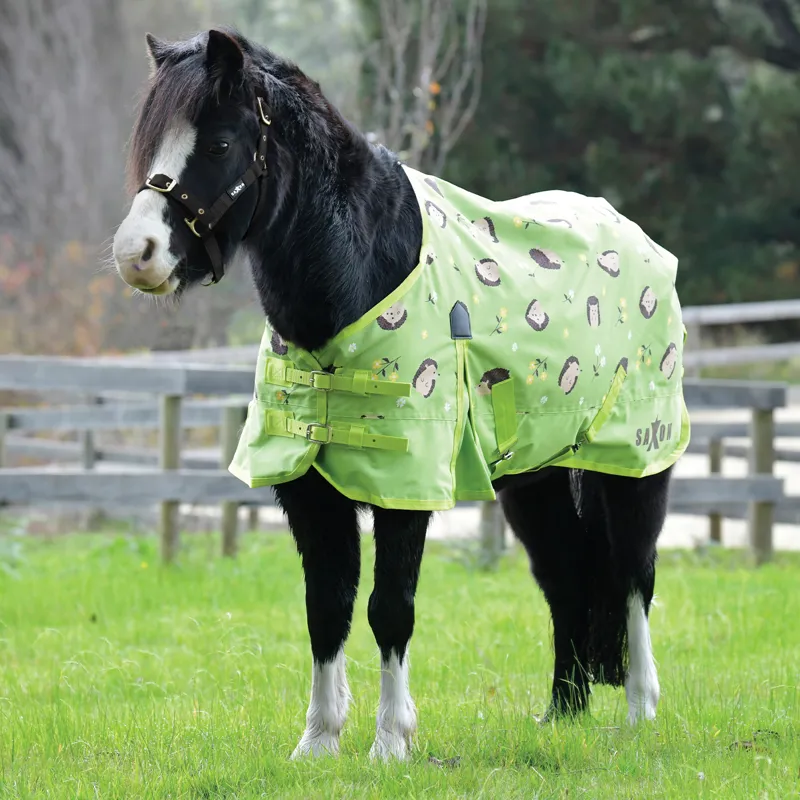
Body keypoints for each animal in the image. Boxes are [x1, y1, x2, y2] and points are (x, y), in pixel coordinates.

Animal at [111, 29, 675, 761]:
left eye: (219, 144)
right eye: (151, 144)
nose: (137, 253)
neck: (360, 273)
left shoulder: (406, 488)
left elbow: (389, 609)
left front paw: (390, 743)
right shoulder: (310, 491)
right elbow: (326, 608)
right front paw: (318, 742)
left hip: (633, 465)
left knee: (634, 575)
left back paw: (638, 711)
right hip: (536, 480)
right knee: (564, 575)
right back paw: (562, 713)